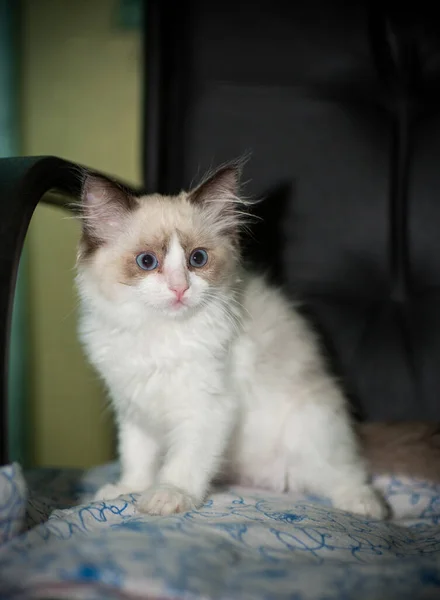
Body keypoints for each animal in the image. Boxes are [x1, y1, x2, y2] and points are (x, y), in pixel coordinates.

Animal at [75, 164, 388, 520]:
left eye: (197, 259)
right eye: (147, 262)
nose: (180, 288)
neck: (158, 332)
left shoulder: (206, 406)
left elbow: (182, 463)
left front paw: (166, 496)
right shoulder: (133, 407)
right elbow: (136, 457)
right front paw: (128, 489)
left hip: (312, 430)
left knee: (346, 473)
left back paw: (366, 506)